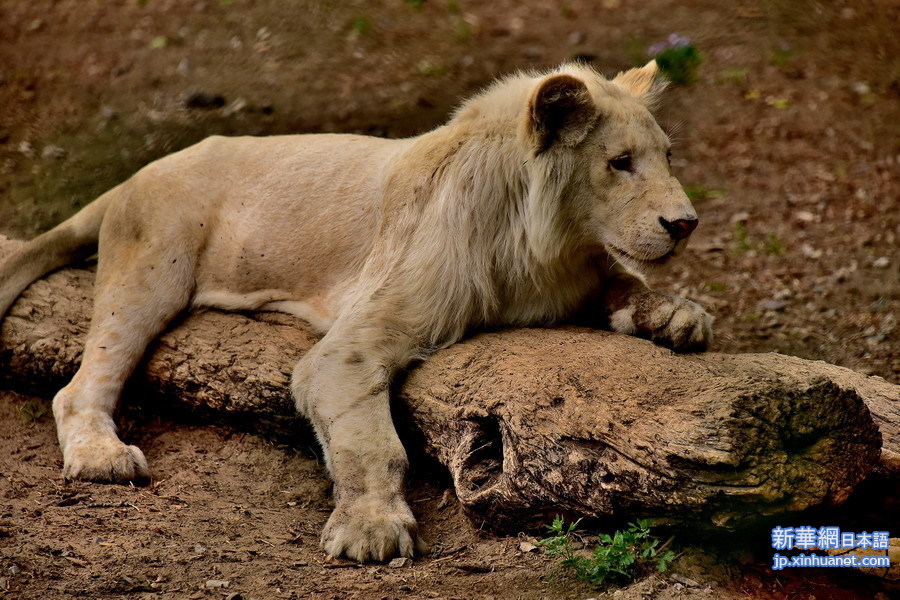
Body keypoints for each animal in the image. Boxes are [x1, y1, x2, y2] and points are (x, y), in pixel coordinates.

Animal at [0, 60, 712, 562]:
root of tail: (137, 173)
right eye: (620, 163)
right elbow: (372, 442)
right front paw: (371, 528)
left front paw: (679, 317)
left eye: (668, 157)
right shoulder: (355, 340)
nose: (685, 224)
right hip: (154, 265)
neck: (548, 243)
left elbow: (627, 284)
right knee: (82, 385)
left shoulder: (582, 277)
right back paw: (102, 455)